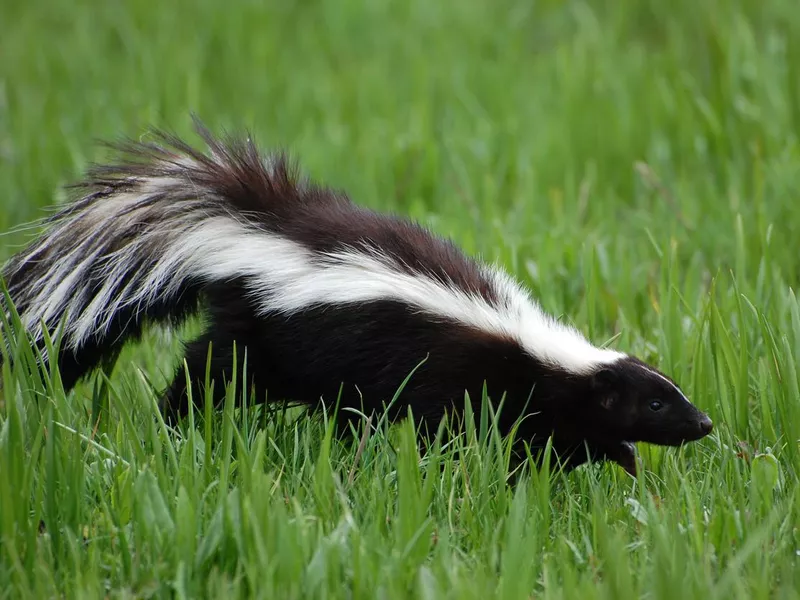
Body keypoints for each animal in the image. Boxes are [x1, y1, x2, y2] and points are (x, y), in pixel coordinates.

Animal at [0, 118, 712, 474]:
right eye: (657, 402)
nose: (705, 423)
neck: (540, 352)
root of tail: (256, 227)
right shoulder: (466, 378)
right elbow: (470, 433)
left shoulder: (544, 401)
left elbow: (558, 438)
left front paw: (620, 461)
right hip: (268, 333)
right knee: (211, 370)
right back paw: (177, 420)